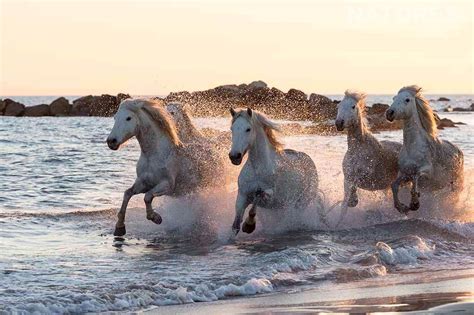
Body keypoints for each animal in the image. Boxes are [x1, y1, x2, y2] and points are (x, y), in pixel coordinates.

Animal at [107, 100, 226, 236]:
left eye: (128, 118)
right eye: (115, 117)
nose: (111, 141)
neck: (154, 155)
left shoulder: (167, 185)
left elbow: (147, 197)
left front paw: (156, 218)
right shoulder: (143, 183)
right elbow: (127, 193)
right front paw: (119, 227)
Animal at [336, 90, 402, 226]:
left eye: (353, 106)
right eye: (338, 107)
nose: (339, 123)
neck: (357, 149)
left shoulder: (367, 177)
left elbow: (355, 185)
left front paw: (354, 200)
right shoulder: (347, 178)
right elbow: (344, 207)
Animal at [386, 86, 462, 215]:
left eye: (407, 99)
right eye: (394, 98)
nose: (389, 113)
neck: (412, 147)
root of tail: (458, 150)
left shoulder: (426, 172)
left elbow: (416, 177)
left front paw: (414, 204)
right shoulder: (405, 173)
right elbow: (394, 185)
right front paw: (402, 207)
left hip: (455, 185)